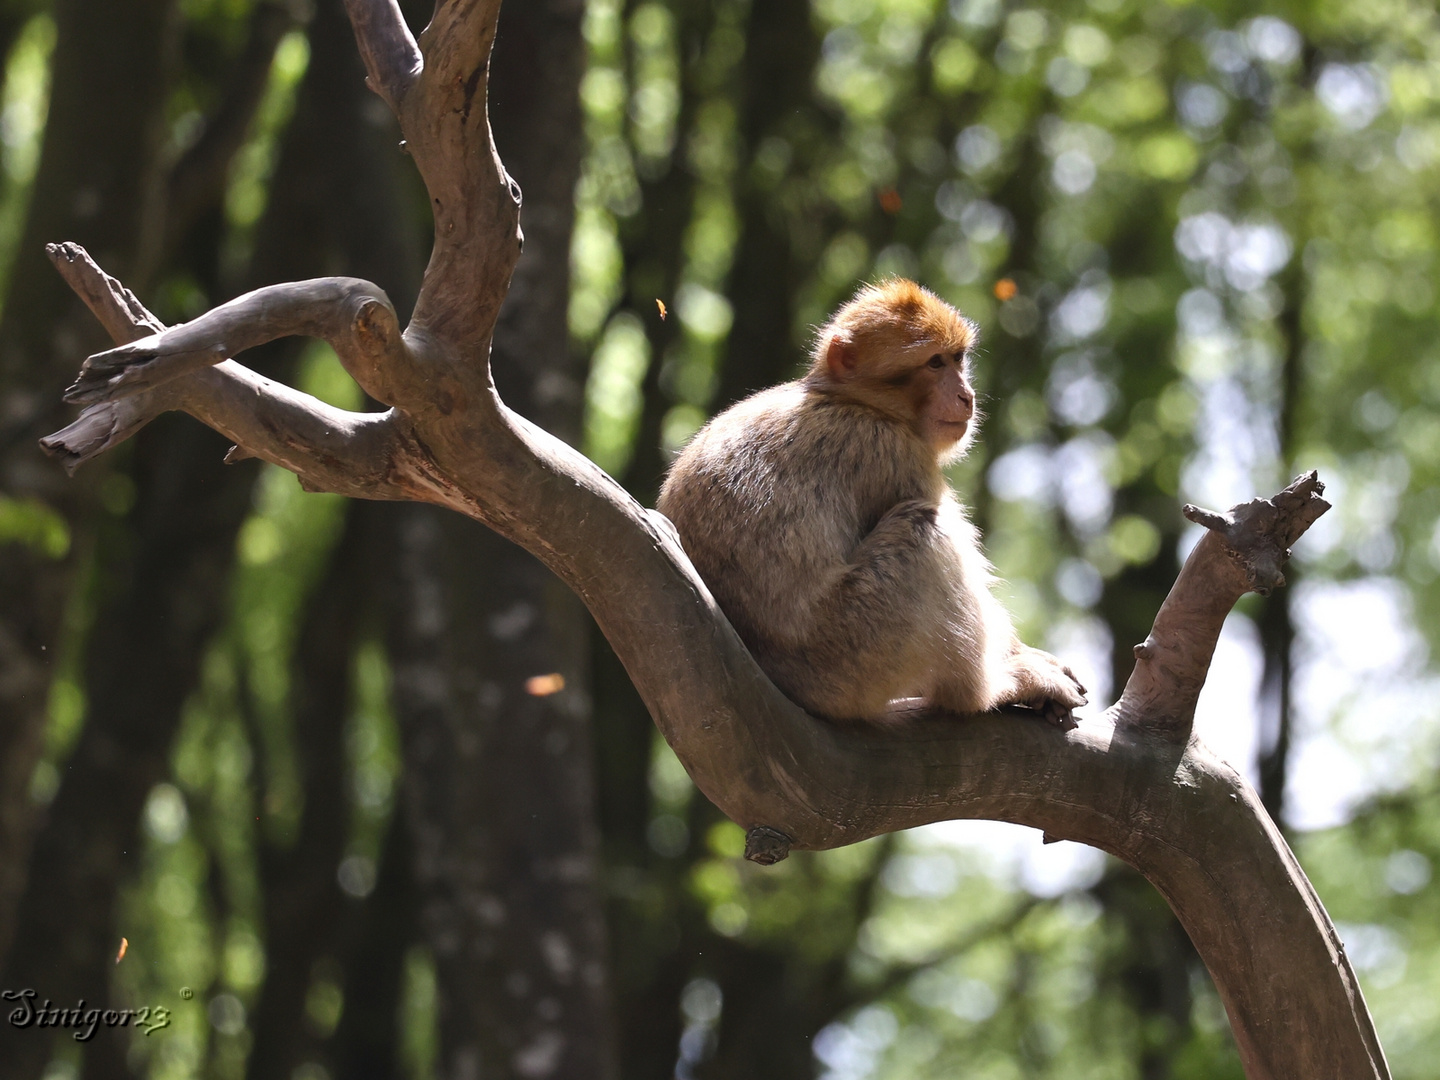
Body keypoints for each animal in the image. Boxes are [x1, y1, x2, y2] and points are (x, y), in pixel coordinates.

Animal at [659, 279, 1082, 728]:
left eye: (957, 359)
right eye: (934, 364)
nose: (966, 395)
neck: (854, 400)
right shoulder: (896, 454)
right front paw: (1021, 664)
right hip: (855, 653)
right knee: (923, 529)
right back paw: (983, 691)